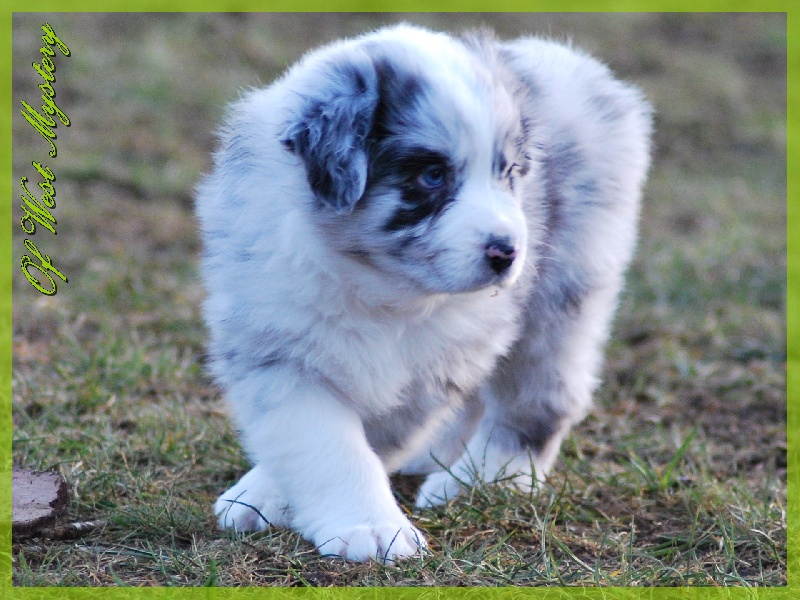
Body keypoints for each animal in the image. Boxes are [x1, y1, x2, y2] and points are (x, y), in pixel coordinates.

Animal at [196, 23, 652, 562]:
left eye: (508, 172)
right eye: (432, 176)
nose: (508, 252)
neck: (376, 283)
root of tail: (572, 63)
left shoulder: (430, 364)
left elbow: (367, 437)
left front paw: (369, 528)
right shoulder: (276, 344)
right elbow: (320, 440)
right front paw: (276, 498)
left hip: (563, 292)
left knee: (537, 399)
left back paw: (479, 479)